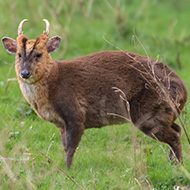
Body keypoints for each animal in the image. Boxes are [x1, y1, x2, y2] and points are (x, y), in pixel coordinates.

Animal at [2, 19, 188, 168]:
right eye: (19, 55)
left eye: (39, 54)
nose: (25, 73)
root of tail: (183, 91)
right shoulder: (61, 123)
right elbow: (64, 145)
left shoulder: (75, 114)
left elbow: (71, 147)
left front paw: (67, 169)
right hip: (163, 112)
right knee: (177, 129)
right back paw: (171, 162)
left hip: (149, 112)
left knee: (174, 135)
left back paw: (178, 165)